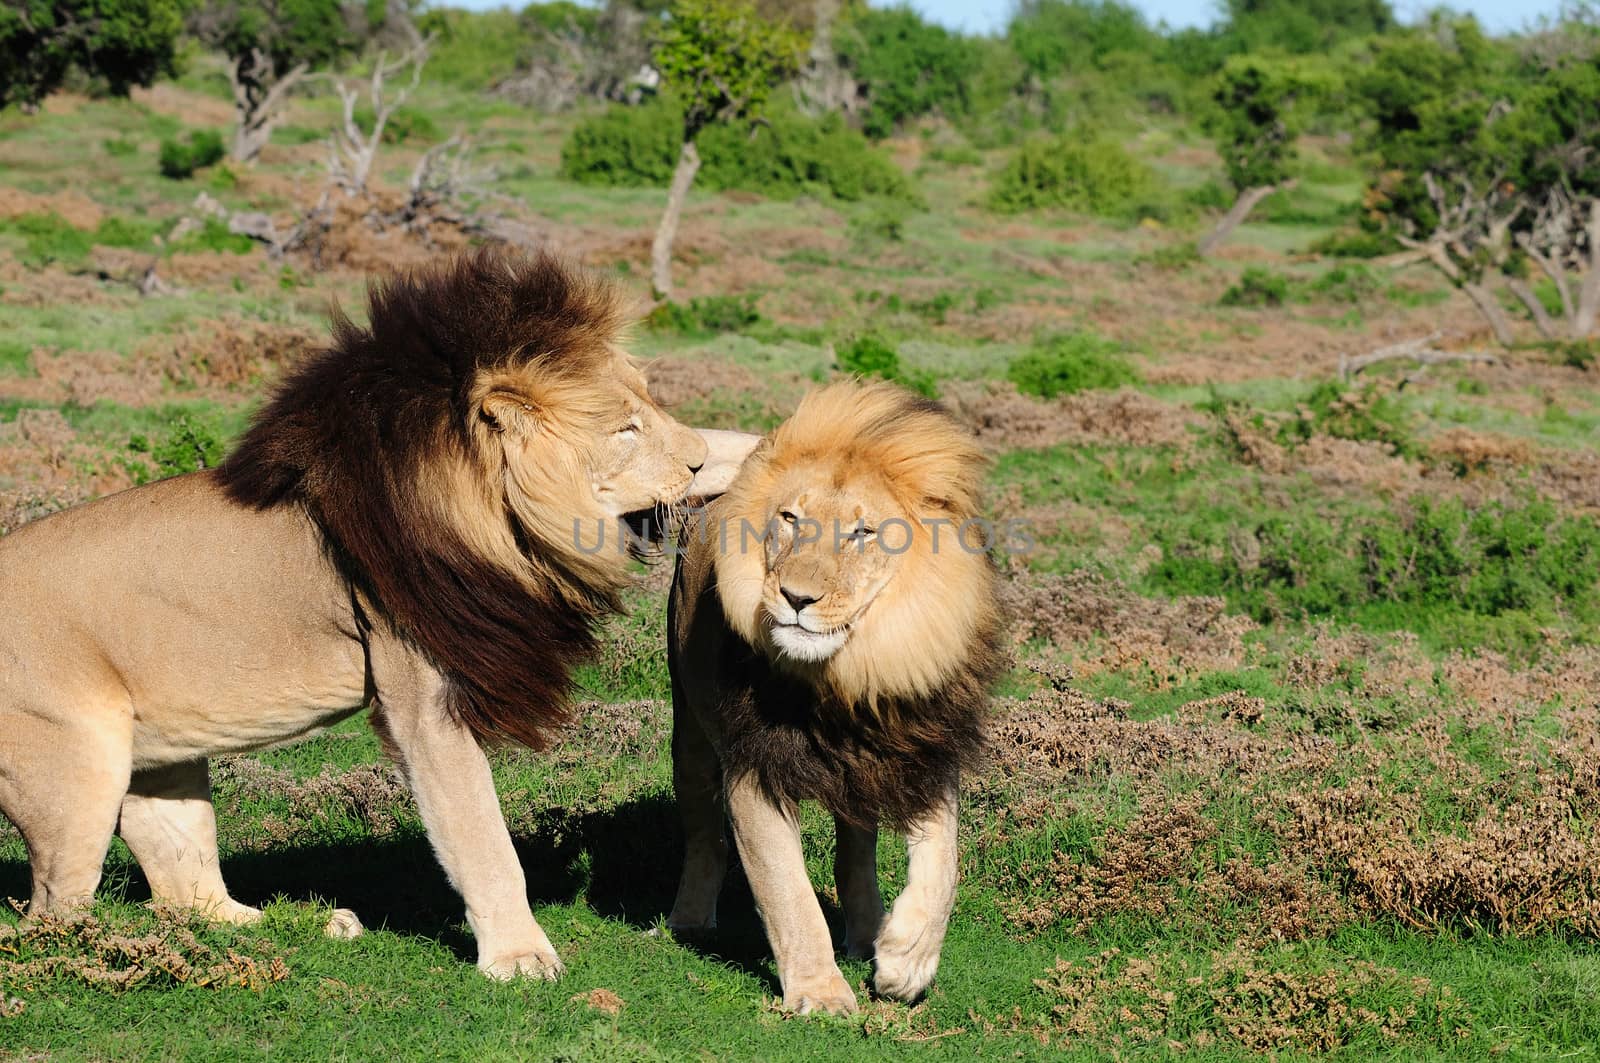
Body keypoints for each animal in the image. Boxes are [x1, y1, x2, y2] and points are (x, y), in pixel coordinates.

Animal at [0, 249, 755, 979]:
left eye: (652, 406)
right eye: (625, 429)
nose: (692, 463)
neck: (492, 515)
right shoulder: (423, 695)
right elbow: (481, 834)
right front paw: (518, 957)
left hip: (162, 763)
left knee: (188, 894)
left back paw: (303, 923)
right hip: (78, 773)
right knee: (51, 920)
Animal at [662, 379, 998, 1011]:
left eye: (862, 533)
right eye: (790, 519)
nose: (796, 598)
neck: (845, 677)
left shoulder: (922, 748)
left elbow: (945, 861)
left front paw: (905, 963)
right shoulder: (752, 770)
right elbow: (788, 891)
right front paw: (819, 993)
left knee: (856, 853)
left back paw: (867, 934)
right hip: (689, 728)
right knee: (701, 833)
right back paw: (690, 919)